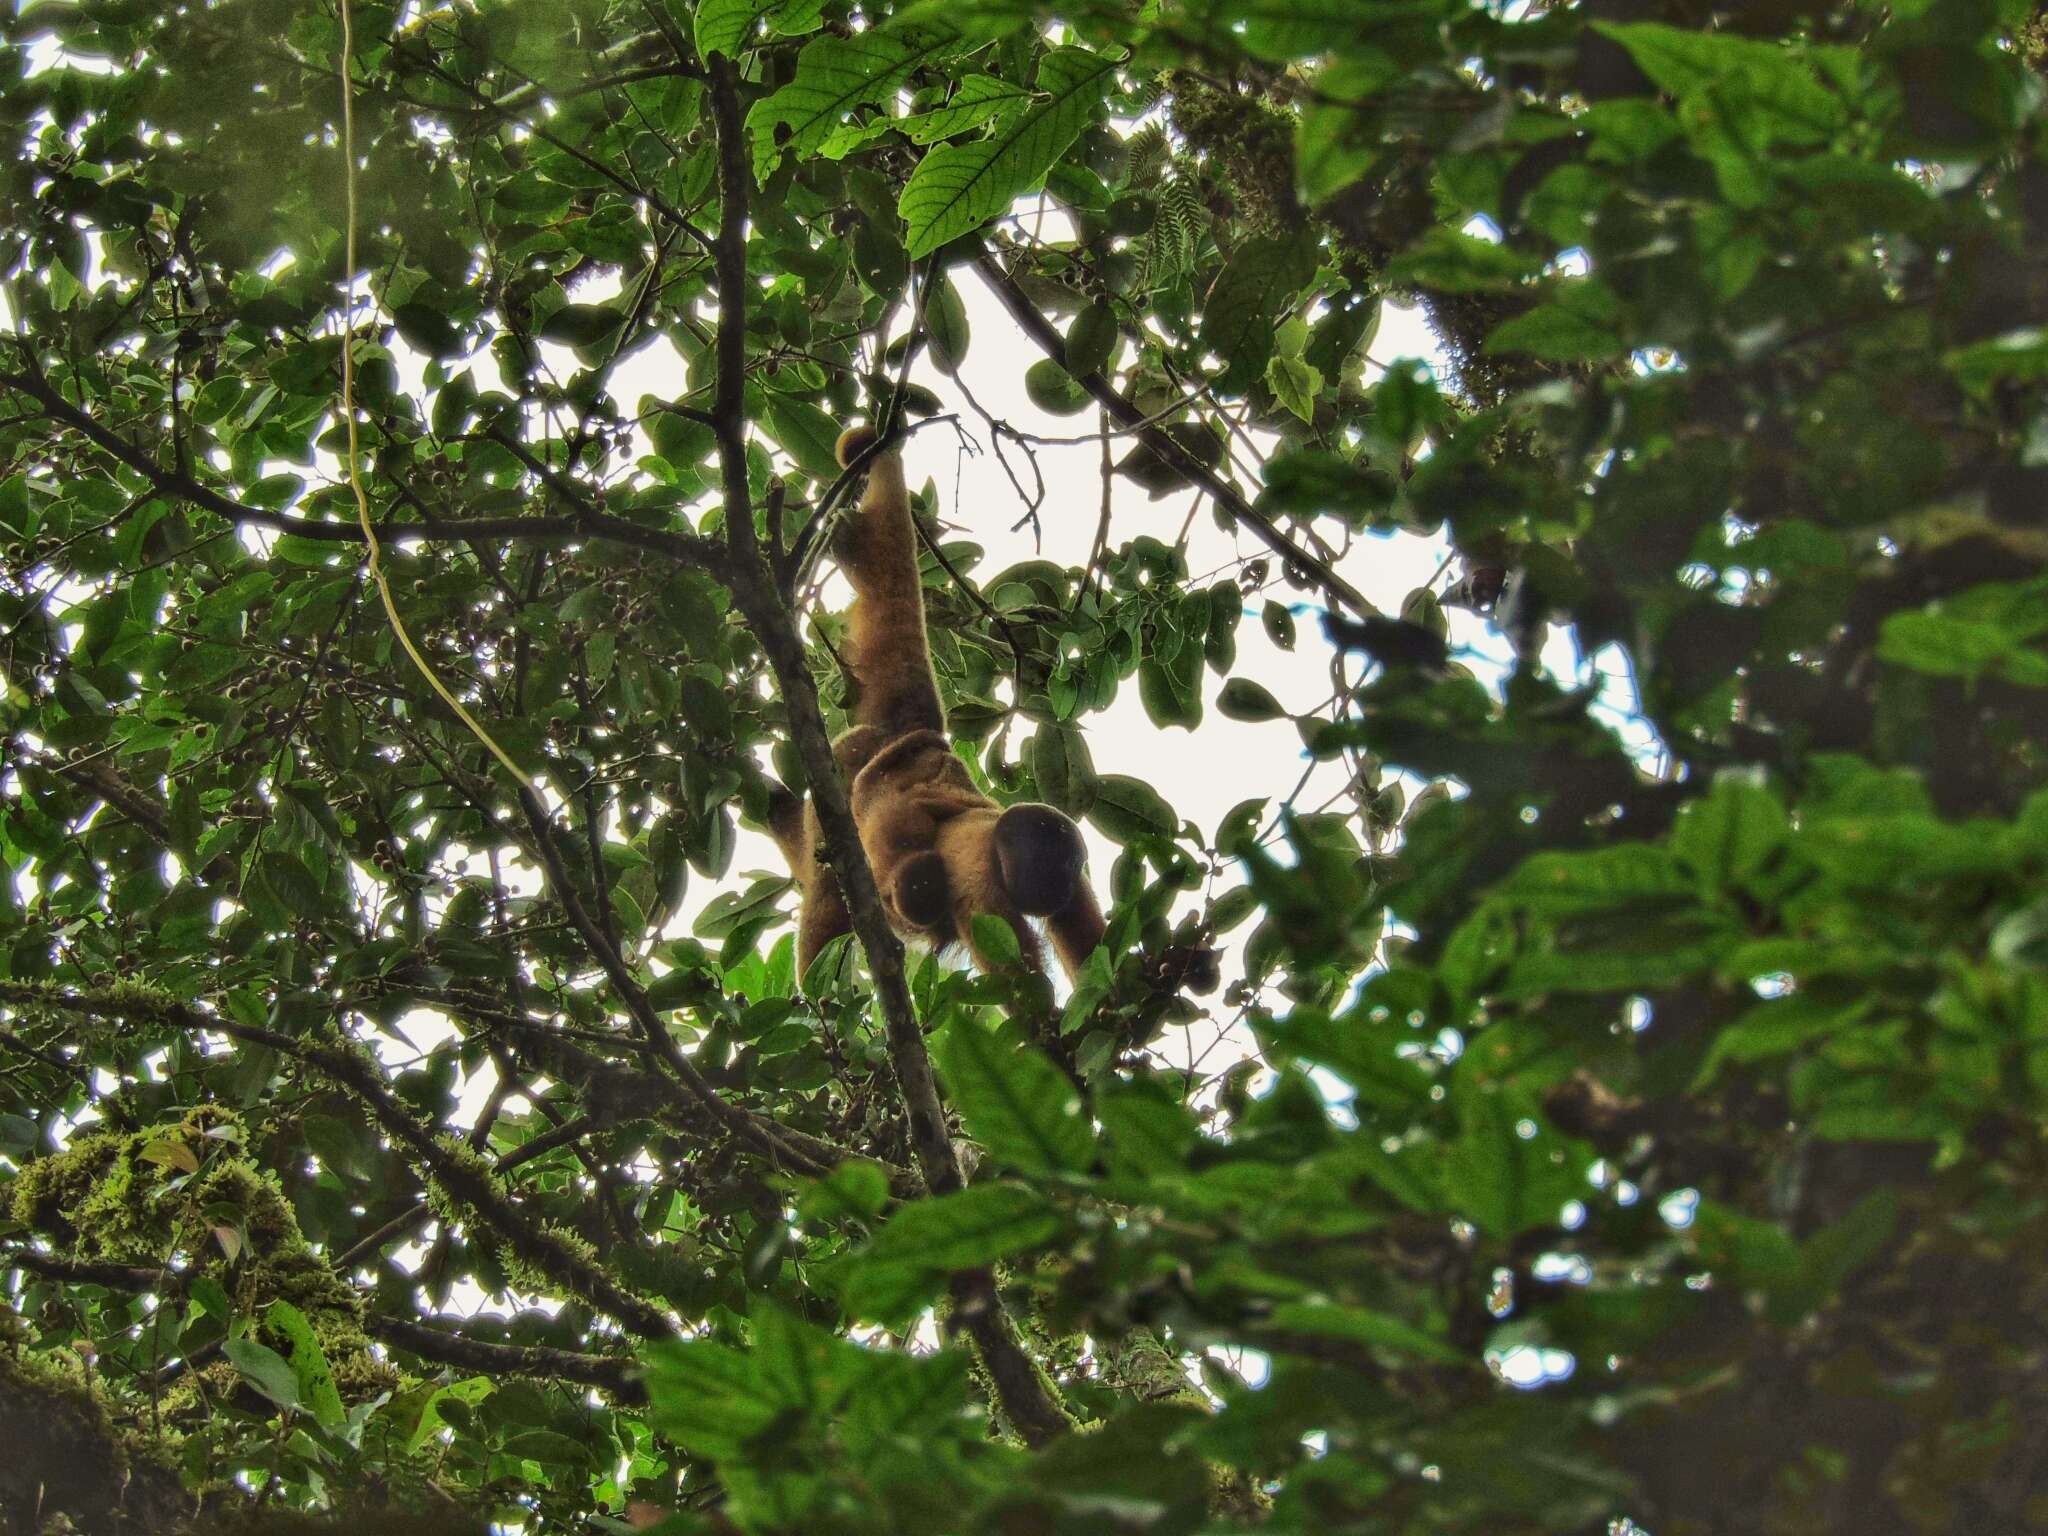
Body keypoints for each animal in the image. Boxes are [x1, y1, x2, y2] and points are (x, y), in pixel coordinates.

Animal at [770, 428, 1114, 978]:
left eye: (1072, 863)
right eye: (1055, 861)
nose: (1067, 876)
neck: (998, 844)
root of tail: (911, 733)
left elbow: (1095, 952)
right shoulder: (978, 875)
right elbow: (1016, 974)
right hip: (841, 774)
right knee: (837, 890)